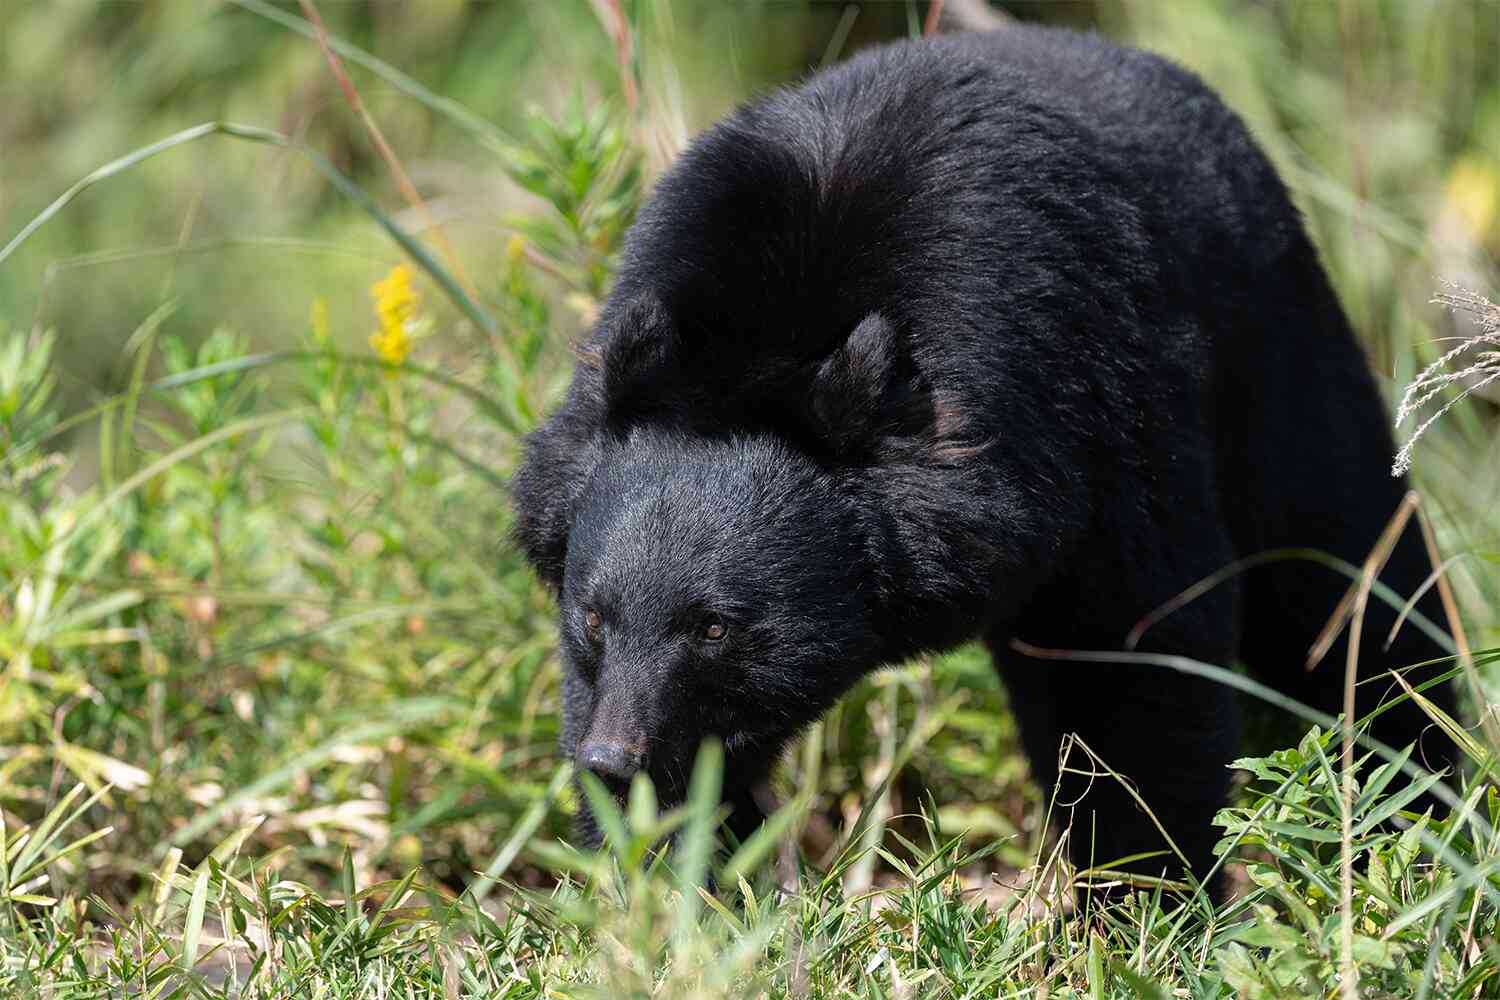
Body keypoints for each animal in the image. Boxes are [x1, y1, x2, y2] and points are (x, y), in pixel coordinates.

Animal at [510, 24, 1457, 897]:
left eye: (715, 628)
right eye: (593, 619)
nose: (614, 760)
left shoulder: (1098, 415)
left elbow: (1131, 657)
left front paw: (1142, 894)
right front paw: (675, 887)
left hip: (1275, 348)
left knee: (1346, 581)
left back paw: (1415, 804)